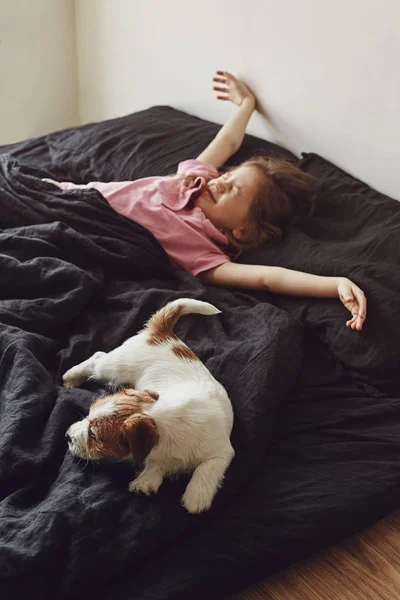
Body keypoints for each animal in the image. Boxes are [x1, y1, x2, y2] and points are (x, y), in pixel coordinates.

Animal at [61, 298, 233, 512]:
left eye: (94, 435)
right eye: (88, 415)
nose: (67, 435)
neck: (162, 418)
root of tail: (159, 332)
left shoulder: (222, 452)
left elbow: (207, 468)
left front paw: (196, 496)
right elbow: (157, 463)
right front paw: (148, 480)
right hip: (116, 367)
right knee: (98, 357)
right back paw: (71, 376)